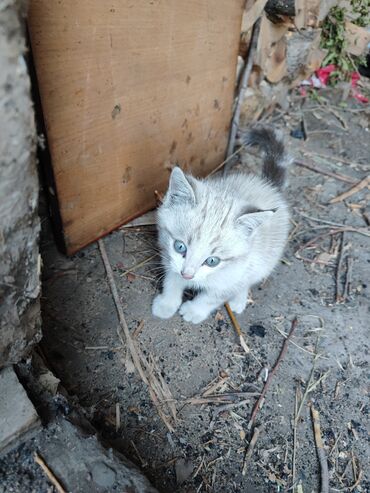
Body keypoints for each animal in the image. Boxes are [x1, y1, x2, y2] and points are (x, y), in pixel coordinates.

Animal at [152, 126, 290, 322]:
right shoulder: (169, 256)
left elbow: (213, 296)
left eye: (212, 261)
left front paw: (194, 311)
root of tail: (268, 185)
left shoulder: (236, 274)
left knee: (249, 280)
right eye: (180, 246)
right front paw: (167, 303)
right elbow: (172, 278)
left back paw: (239, 300)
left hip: (265, 260)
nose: (188, 274)